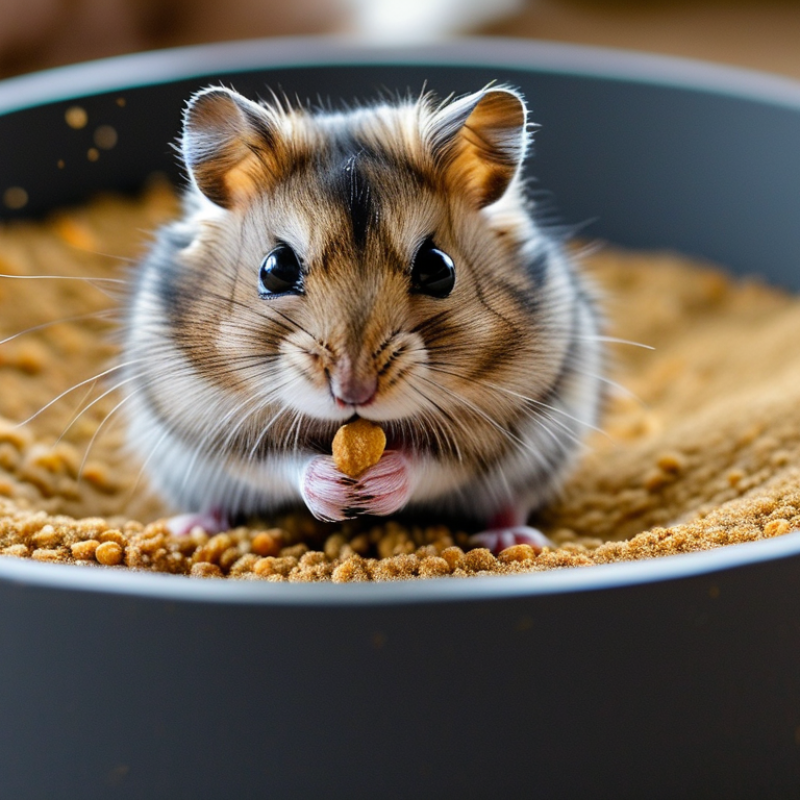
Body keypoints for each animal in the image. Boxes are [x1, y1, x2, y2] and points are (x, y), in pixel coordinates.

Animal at [122, 84, 604, 551]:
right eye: (276, 269)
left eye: (439, 268)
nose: (353, 393)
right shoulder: (225, 431)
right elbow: (282, 463)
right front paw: (335, 488)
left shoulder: (487, 431)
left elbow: (433, 463)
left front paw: (378, 484)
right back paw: (190, 528)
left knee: (509, 503)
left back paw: (511, 538)